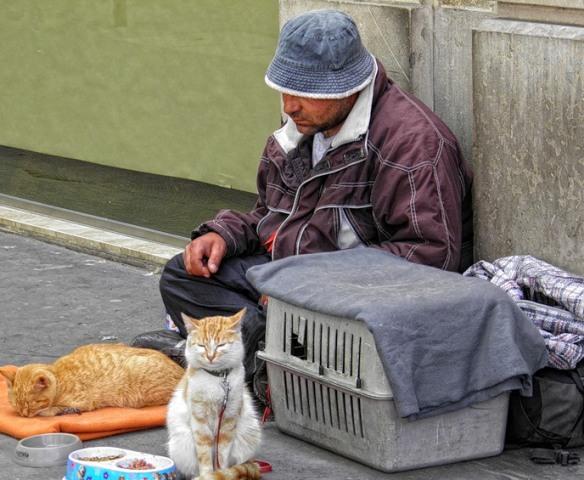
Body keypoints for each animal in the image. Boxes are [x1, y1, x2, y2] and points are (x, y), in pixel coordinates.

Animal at [0, 344, 184, 418]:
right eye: (16, 404)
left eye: (32, 404)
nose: (24, 415)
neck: (59, 377)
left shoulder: (83, 402)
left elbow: (50, 410)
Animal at [168, 310, 262, 480]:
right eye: (201, 345)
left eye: (221, 345)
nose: (210, 356)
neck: (217, 377)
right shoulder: (199, 419)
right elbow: (204, 454)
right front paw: (207, 474)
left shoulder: (229, 419)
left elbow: (222, 453)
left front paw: (221, 472)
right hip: (181, 444)